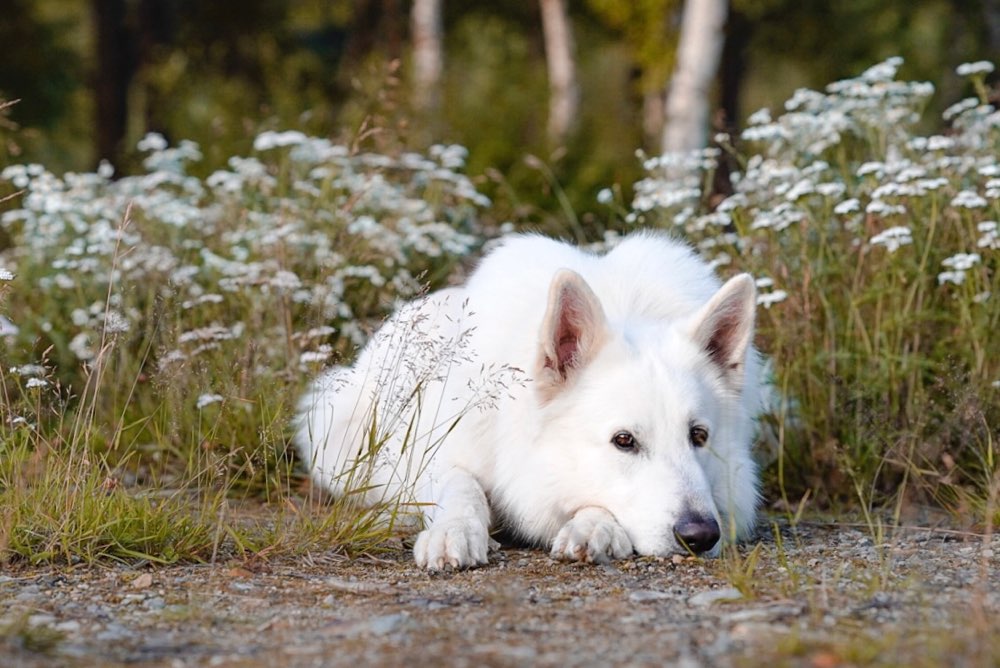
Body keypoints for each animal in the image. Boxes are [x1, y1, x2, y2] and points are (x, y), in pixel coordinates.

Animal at [292, 232, 760, 572]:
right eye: (624, 440)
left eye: (698, 436)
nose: (701, 536)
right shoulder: (435, 454)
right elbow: (460, 485)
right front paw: (454, 530)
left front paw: (594, 527)